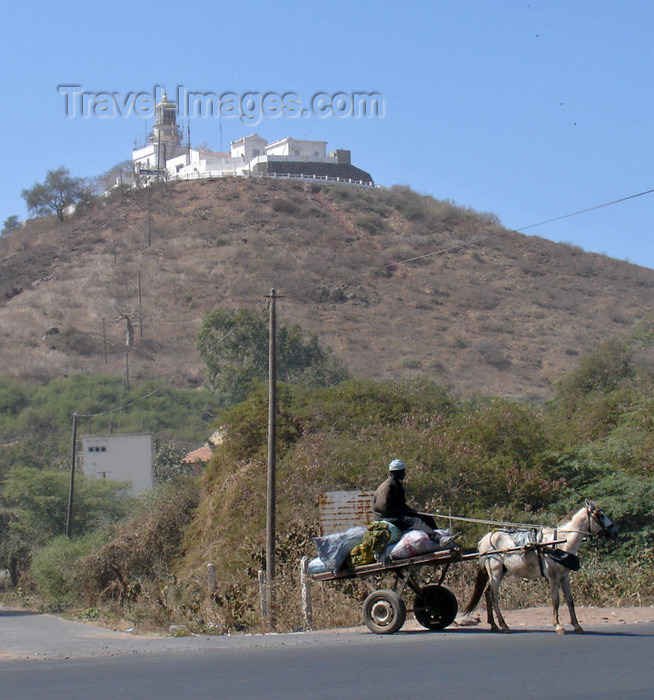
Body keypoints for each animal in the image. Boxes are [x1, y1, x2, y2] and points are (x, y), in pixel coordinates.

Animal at [464, 498, 616, 636]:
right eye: (600, 515)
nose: (614, 531)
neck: (559, 542)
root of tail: (484, 539)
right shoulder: (553, 576)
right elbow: (556, 600)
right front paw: (558, 626)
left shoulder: (564, 576)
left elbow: (570, 600)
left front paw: (577, 626)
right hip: (495, 570)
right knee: (493, 595)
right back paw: (504, 625)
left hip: (500, 571)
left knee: (487, 593)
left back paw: (494, 625)